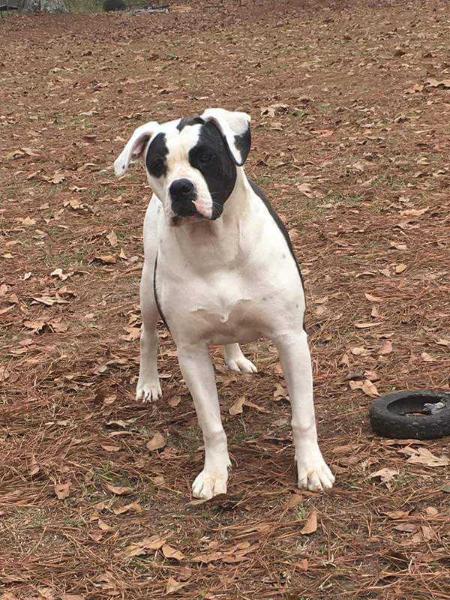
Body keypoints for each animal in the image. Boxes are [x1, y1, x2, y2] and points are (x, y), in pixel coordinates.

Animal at [115, 109, 334, 502]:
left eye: (205, 157)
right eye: (157, 165)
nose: (180, 188)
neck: (215, 248)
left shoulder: (291, 338)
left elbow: (303, 416)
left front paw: (311, 467)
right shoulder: (190, 352)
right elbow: (211, 423)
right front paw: (215, 473)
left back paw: (236, 357)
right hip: (147, 292)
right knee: (148, 336)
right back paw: (148, 382)